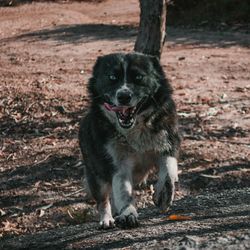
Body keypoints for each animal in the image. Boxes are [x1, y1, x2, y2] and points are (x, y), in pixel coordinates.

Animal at [79, 52, 181, 229]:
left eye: (139, 77)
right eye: (112, 77)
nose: (124, 96)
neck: (135, 128)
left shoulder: (168, 145)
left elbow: (168, 173)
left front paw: (163, 196)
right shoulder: (117, 165)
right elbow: (123, 192)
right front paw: (128, 213)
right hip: (96, 176)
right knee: (103, 201)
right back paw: (107, 220)